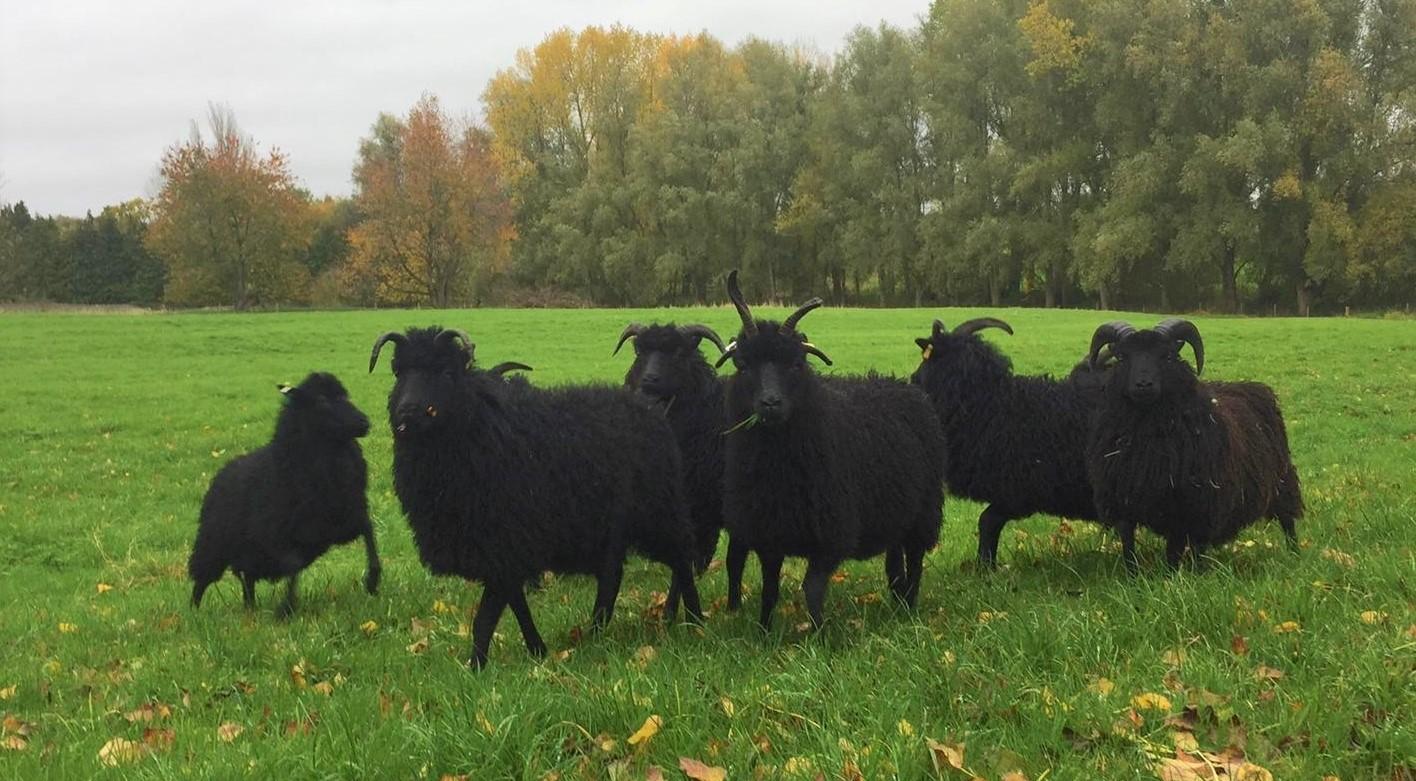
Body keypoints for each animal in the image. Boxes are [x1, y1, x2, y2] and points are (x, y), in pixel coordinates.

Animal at [192, 373, 387, 616]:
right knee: (202, 580)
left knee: (247, 579)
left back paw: (250, 608)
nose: (364, 422)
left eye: (345, 395)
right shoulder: (281, 537)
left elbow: (369, 533)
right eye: (322, 400)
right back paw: (194, 613)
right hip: (213, 545)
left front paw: (372, 581)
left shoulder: (345, 520)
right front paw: (287, 607)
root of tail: (221, 473)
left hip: (247, 552)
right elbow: (293, 565)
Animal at [370, 326, 702, 667]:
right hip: (610, 525)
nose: (407, 412)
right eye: (398, 372)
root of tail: (649, 410)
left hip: (659, 512)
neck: (479, 430)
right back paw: (596, 631)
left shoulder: (504, 541)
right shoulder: (504, 551)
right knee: (613, 575)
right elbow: (515, 603)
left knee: (682, 560)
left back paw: (694, 622)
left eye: (447, 372)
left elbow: (485, 618)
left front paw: (476, 667)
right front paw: (536, 649)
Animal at [719, 271, 951, 631]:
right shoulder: (769, 534)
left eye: (796, 364)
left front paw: (819, 635)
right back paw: (897, 603)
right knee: (894, 563)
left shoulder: (831, 534)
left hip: (923, 511)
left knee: (914, 561)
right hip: (895, 510)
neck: (777, 469)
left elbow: (811, 589)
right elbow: (769, 589)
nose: (770, 403)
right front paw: (764, 631)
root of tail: (899, 384)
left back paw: (909, 610)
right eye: (743, 365)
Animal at [1081, 318, 1302, 574]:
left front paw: (1186, 576)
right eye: (1123, 357)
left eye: (1167, 356)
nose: (1143, 384)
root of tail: (1259, 388)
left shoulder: (1195, 504)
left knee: (1288, 521)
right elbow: (1129, 545)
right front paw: (1135, 575)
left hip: (1281, 481)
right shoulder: (1123, 500)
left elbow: (1186, 548)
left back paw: (1295, 554)